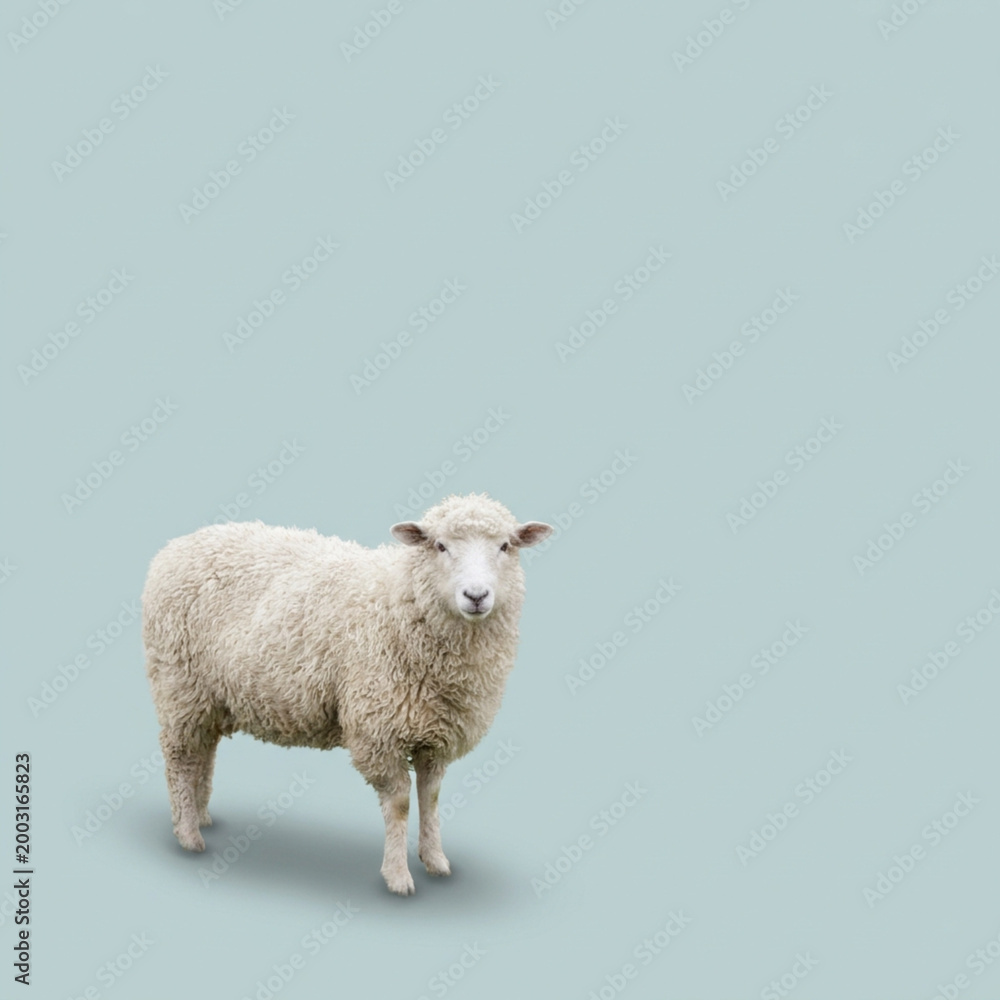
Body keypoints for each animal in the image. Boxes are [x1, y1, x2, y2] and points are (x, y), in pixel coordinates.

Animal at [141, 493, 552, 895]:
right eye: (440, 545)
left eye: (505, 546)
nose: (476, 595)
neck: (401, 602)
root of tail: (176, 546)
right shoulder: (379, 729)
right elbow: (400, 804)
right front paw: (397, 876)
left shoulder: (435, 733)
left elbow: (431, 798)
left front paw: (435, 860)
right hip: (179, 683)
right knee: (180, 757)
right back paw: (188, 834)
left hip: (210, 697)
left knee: (203, 752)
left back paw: (201, 816)